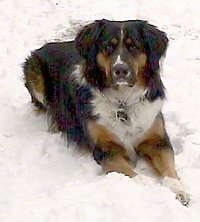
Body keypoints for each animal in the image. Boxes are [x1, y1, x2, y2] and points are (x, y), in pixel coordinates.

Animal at [23, 18, 189, 205]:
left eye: (134, 46)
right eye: (109, 46)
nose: (120, 70)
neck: (122, 101)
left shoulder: (157, 140)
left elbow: (169, 169)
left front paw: (179, 191)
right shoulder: (105, 149)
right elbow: (133, 174)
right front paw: (150, 189)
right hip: (33, 70)